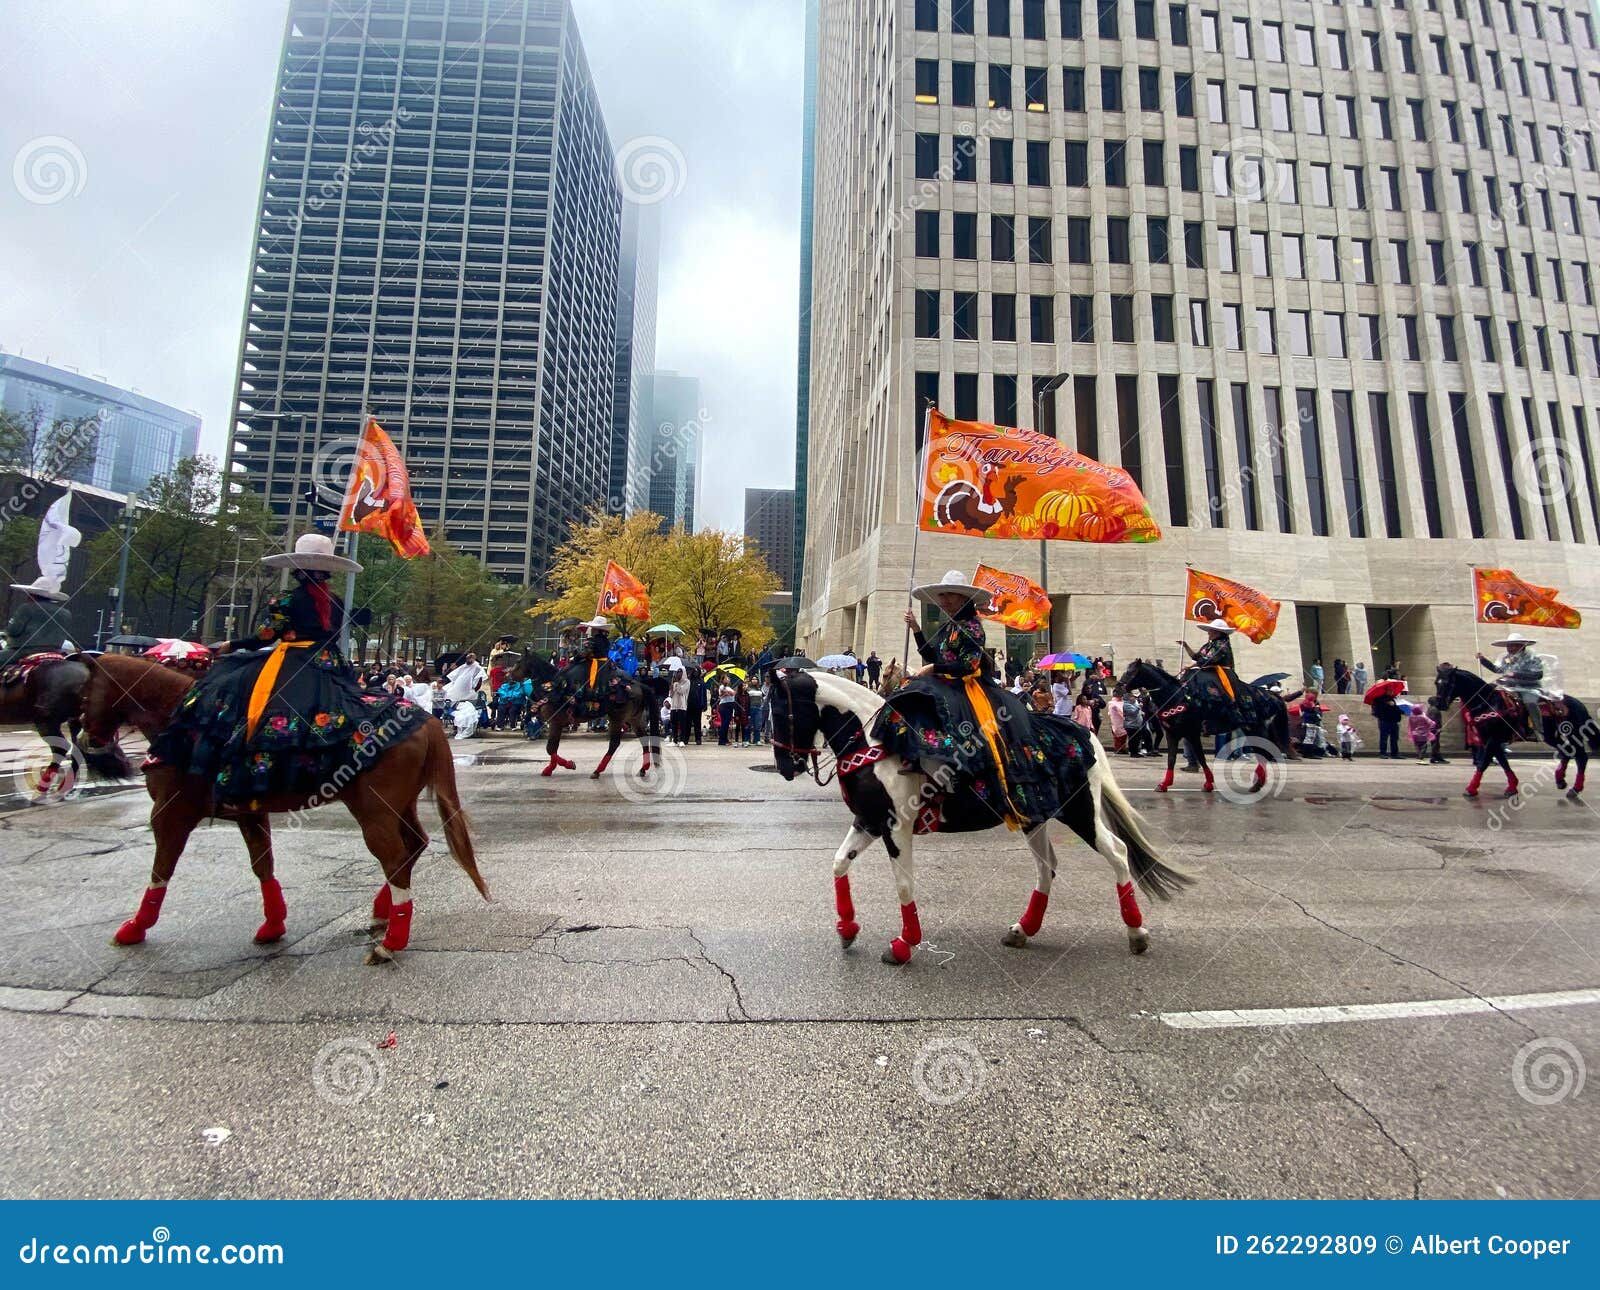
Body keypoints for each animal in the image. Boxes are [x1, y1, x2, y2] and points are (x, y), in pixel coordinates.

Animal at [78, 662, 489, 966]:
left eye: (82, 692)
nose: (85, 739)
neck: (185, 720)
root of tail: (429, 721)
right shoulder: (248, 813)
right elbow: (263, 865)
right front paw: (272, 925)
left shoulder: (170, 812)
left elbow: (161, 871)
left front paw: (134, 928)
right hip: (397, 804)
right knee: (412, 846)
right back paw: (382, 914)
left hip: (374, 808)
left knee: (395, 858)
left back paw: (390, 942)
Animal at [515, 653, 659, 784]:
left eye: (518, 662)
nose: (510, 675)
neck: (551, 688)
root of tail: (637, 684)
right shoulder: (556, 724)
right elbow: (553, 748)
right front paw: (551, 768)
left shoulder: (555, 722)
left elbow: (550, 748)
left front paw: (567, 765)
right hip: (634, 717)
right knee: (643, 738)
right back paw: (643, 769)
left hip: (617, 717)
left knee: (614, 743)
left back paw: (597, 771)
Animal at [761, 672, 1190, 966]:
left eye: (781, 710)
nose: (785, 767)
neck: (875, 746)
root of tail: (1083, 733)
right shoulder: (869, 822)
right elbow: (838, 864)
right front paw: (848, 930)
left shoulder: (897, 827)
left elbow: (904, 885)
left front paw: (903, 945)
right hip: (1034, 817)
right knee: (1047, 867)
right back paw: (1023, 929)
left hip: (1080, 812)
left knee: (1117, 853)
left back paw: (1136, 932)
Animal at [1120, 665, 1292, 797]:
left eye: (1131, 672)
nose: (1119, 687)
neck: (1174, 697)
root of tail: (1271, 695)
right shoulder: (1173, 734)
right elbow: (1172, 759)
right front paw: (1164, 784)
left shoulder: (1191, 733)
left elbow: (1200, 758)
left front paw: (1208, 783)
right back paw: (1258, 783)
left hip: (1255, 728)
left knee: (1264, 753)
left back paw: (1258, 782)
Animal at [1440, 665, 1600, 797]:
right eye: (1437, 682)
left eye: (1448, 683)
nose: (1438, 703)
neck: (1488, 702)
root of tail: (1579, 704)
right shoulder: (1491, 740)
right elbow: (1503, 762)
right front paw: (1512, 786)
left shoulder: (1492, 739)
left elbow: (1484, 763)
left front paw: (1471, 788)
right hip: (1551, 736)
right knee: (1567, 751)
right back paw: (1560, 779)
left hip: (1572, 734)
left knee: (1580, 757)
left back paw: (1575, 788)